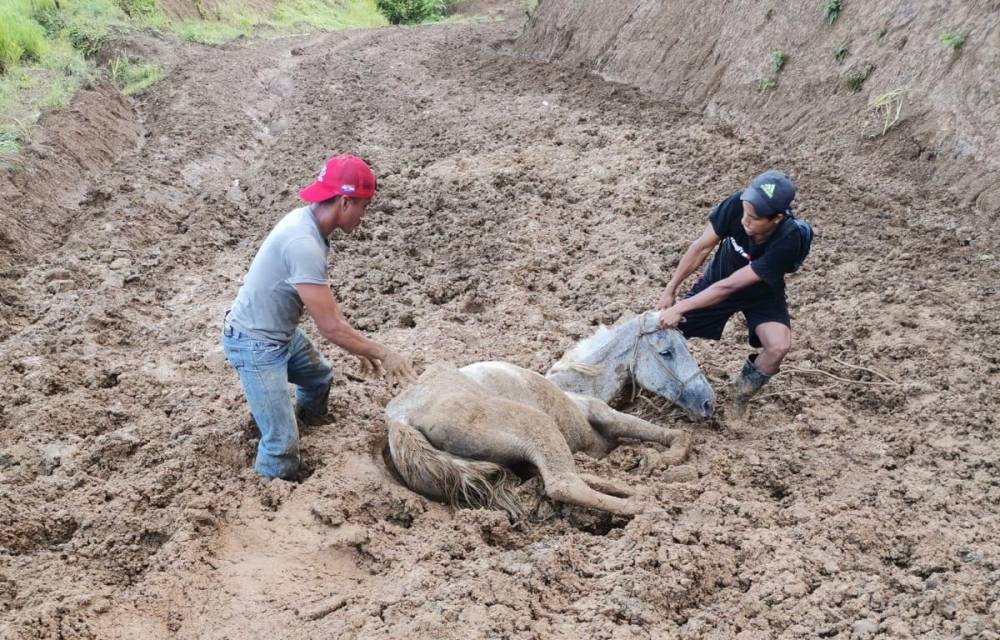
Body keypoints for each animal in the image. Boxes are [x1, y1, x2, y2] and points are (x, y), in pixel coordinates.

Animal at [386, 312, 716, 520]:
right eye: (666, 352)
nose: (707, 402)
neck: (574, 383)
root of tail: (400, 419)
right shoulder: (604, 414)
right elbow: (671, 434)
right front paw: (664, 460)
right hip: (538, 427)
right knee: (563, 484)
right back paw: (641, 504)